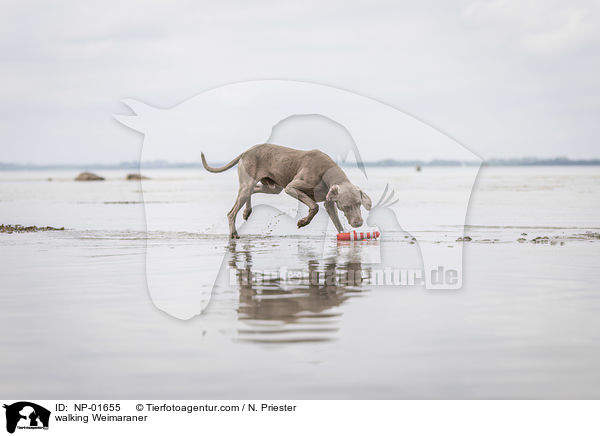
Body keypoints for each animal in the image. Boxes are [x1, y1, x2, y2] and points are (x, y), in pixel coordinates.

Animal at [203, 144, 370, 238]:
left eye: (359, 204)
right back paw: (234, 233)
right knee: (231, 212)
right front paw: (303, 222)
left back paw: (246, 211)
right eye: (346, 206)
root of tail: (246, 151)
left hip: (272, 187)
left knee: (253, 190)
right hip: (251, 183)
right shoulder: (291, 187)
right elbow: (314, 206)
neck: (326, 172)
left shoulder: (329, 202)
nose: (359, 223)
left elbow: (336, 222)